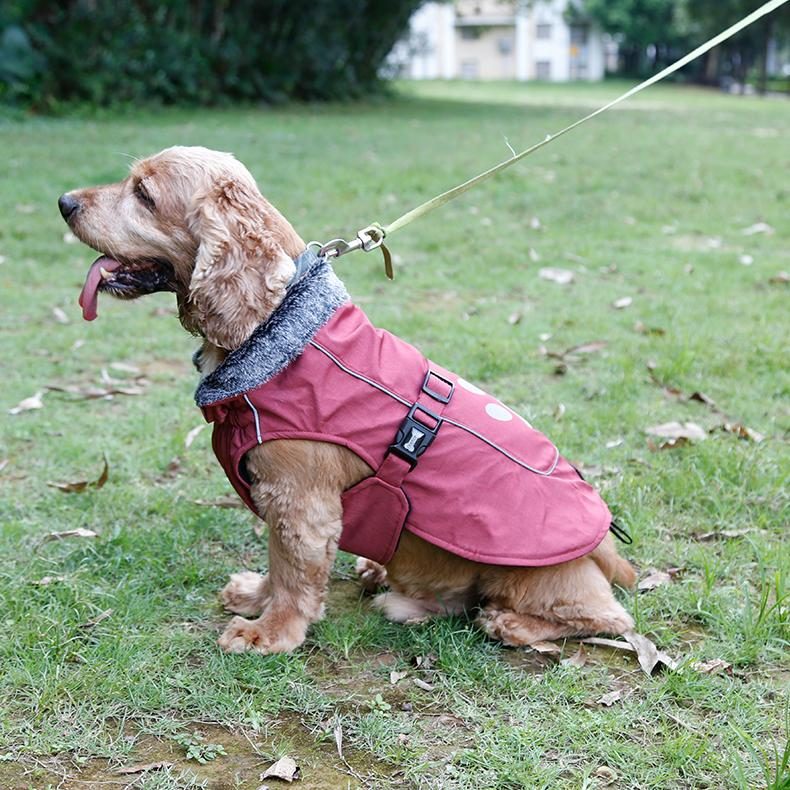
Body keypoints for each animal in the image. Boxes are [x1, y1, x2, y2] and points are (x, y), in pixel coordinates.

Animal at [58, 148, 636, 656]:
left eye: (144, 194)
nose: (64, 201)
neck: (275, 329)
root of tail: (606, 546)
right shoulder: (280, 500)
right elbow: (277, 564)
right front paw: (255, 597)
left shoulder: (300, 499)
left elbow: (293, 574)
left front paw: (269, 633)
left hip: (530, 575)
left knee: (607, 617)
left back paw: (509, 622)